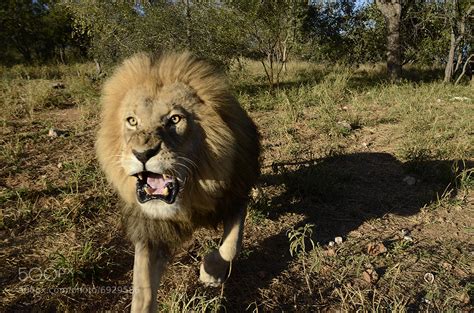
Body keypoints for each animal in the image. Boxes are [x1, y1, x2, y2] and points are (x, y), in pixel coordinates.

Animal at [95, 52, 260, 310]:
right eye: (132, 121)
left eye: (174, 119)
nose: (142, 154)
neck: (188, 198)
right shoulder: (150, 228)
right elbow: (142, 291)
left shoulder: (235, 195)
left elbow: (232, 245)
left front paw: (210, 271)